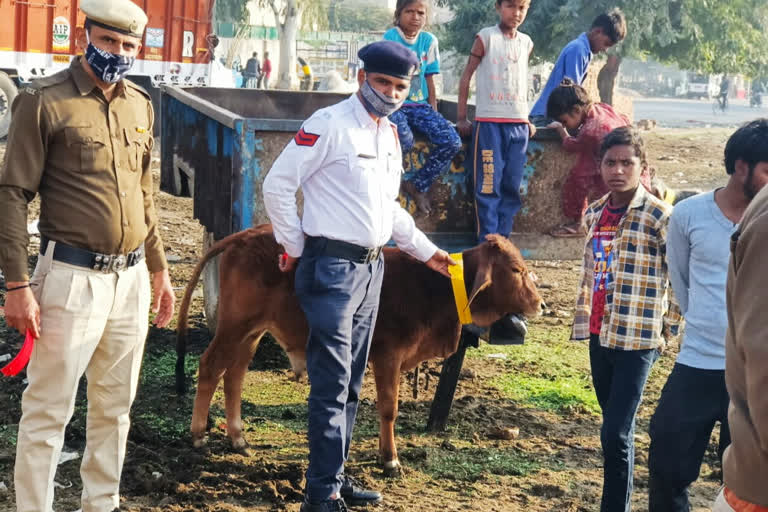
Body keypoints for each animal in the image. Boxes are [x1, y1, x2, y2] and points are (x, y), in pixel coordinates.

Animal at [177, 224, 544, 472]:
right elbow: (388, 408)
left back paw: (238, 438)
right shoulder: (388, 356)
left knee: (234, 375)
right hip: (235, 325)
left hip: (252, 331)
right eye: (516, 269)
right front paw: (390, 459)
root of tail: (243, 235)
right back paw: (198, 435)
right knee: (211, 366)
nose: (541, 304)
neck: (435, 290)